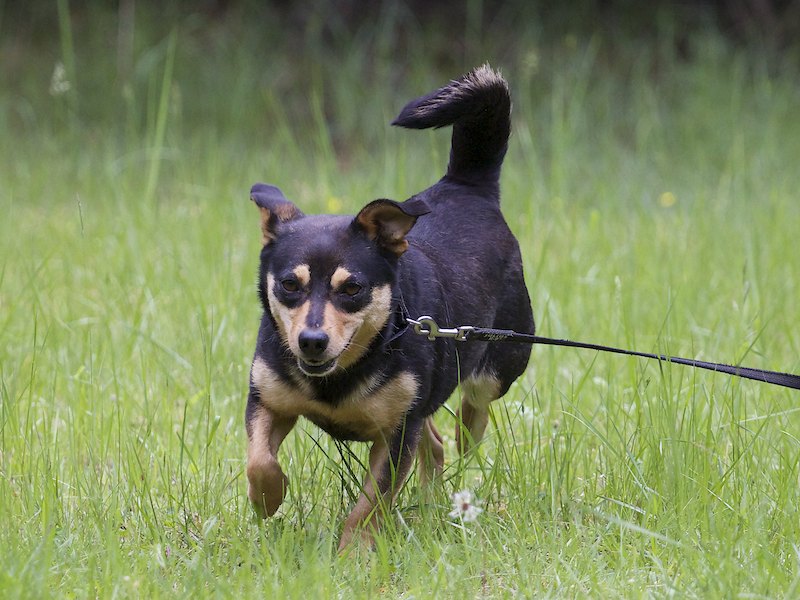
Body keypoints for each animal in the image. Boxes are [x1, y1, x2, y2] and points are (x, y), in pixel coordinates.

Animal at [245, 65, 534, 550]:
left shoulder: (396, 434)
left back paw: (467, 430)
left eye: (352, 288)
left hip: (502, 358)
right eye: (289, 284)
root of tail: (466, 188)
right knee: (434, 443)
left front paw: (353, 554)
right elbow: (258, 459)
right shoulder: (268, 401)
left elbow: (370, 504)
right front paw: (269, 496)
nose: (311, 341)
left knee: (473, 406)